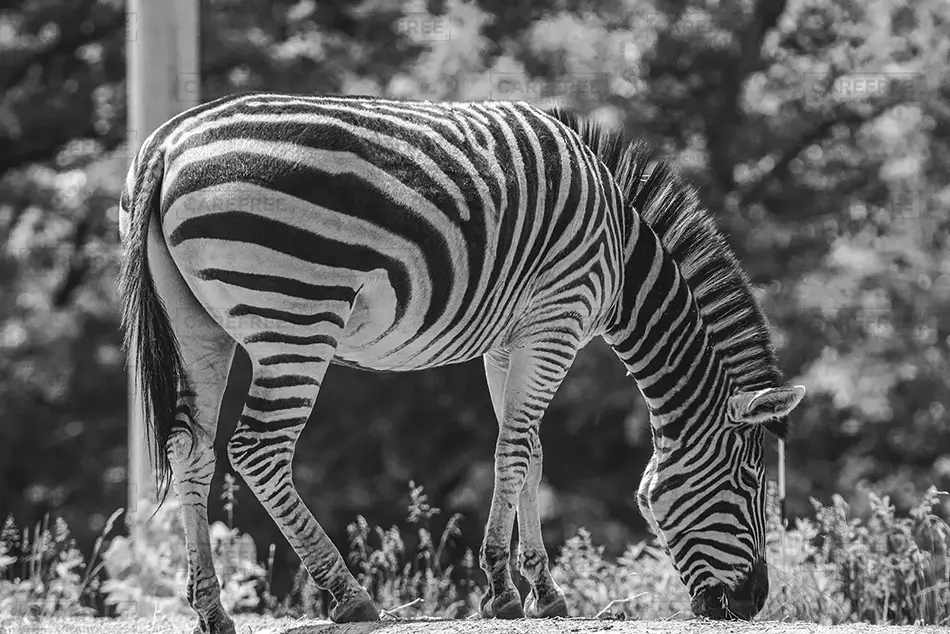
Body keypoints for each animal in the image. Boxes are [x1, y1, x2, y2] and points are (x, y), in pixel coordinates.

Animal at [118, 91, 805, 632]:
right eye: (751, 483)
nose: (753, 603)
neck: (619, 251)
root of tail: (166, 144)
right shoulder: (557, 318)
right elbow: (514, 451)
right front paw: (501, 591)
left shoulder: (513, 337)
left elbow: (530, 451)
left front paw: (545, 593)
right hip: (297, 313)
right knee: (257, 448)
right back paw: (351, 598)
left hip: (198, 324)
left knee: (191, 448)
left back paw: (211, 610)